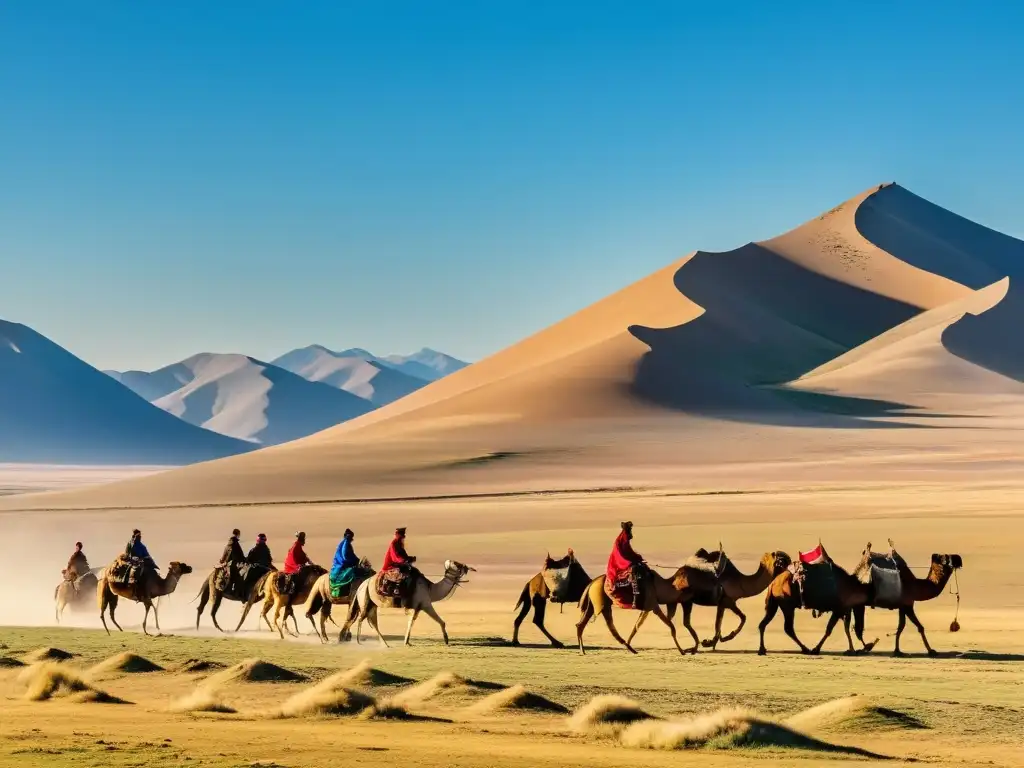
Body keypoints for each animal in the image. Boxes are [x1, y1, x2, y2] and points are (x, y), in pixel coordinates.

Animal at [342, 561, 473, 647]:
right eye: (457, 564)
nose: (468, 567)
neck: (431, 589)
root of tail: (362, 585)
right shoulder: (425, 604)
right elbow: (438, 621)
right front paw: (446, 640)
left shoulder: (418, 607)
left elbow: (412, 622)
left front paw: (407, 641)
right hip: (365, 599)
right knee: (361, 618)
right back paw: (359, 641)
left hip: (372, 603)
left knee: (372, 621)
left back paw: (385, 644)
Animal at [577, 565, 720, 655]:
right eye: (700, 575)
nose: (715, 580)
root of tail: (591, 583)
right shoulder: (654, 605)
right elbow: (672, 627)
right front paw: (682, 651)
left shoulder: (647, 607)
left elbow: (636, 626)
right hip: (601, 601)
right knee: (605, 624)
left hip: (596, 603)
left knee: (583, 624)